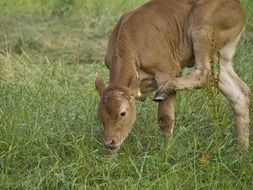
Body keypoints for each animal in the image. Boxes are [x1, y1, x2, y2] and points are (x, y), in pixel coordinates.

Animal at [95, 0, 249, 151]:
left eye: (123, 113)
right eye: (100, 114)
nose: (109, 142)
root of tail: (237, 5)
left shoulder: (167, 71)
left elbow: (165, 118)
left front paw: (167, 150)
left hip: (202, 30)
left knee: (204, 73)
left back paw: (164, 90)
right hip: (221, 55)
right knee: (238, 92)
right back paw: (242, 148)